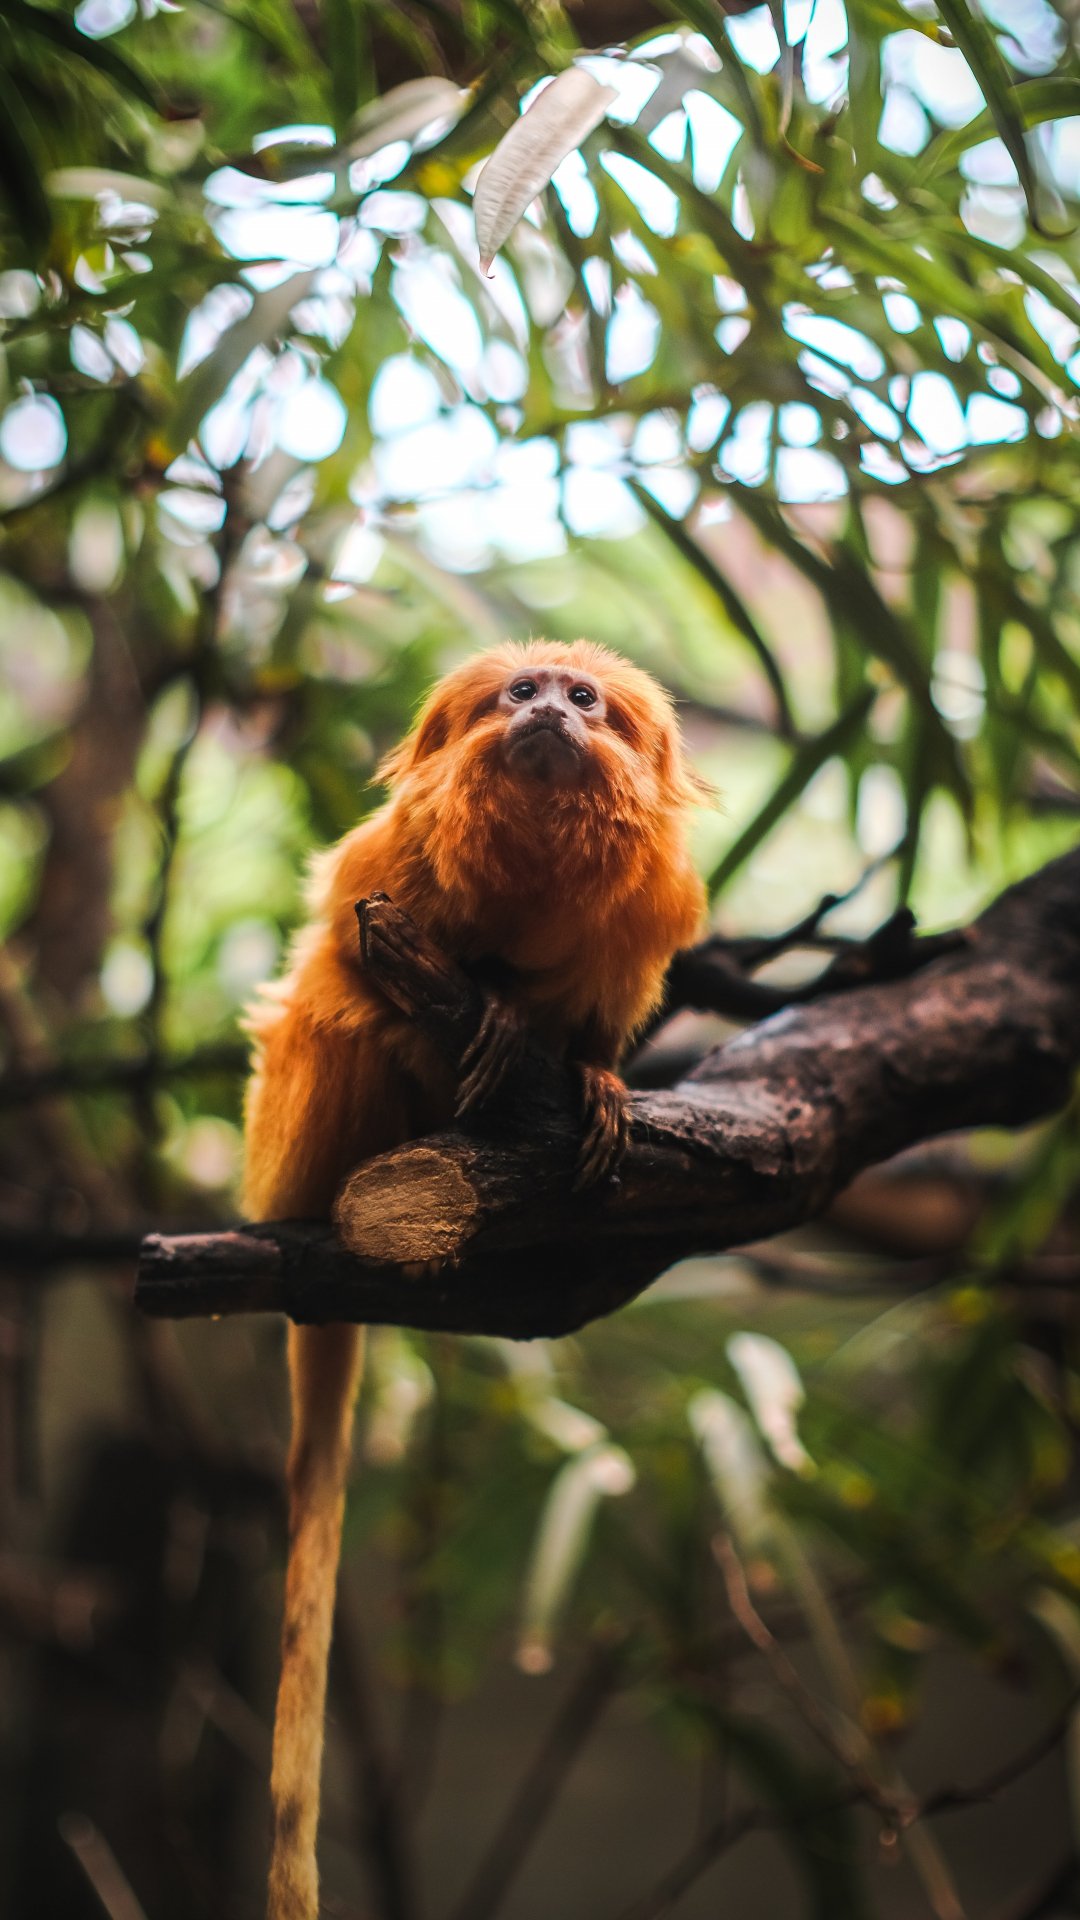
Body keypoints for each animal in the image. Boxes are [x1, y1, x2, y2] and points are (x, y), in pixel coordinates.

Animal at [242, 638, 705, 1920]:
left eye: (583, 700)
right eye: (519, 695)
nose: (549, 710)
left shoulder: (647, 913)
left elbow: (598, 1019)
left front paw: (592, 1080)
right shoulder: (385, 868)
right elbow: (347, 950)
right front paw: (489, 1008)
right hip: (297, 1136)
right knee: (332, 1011)